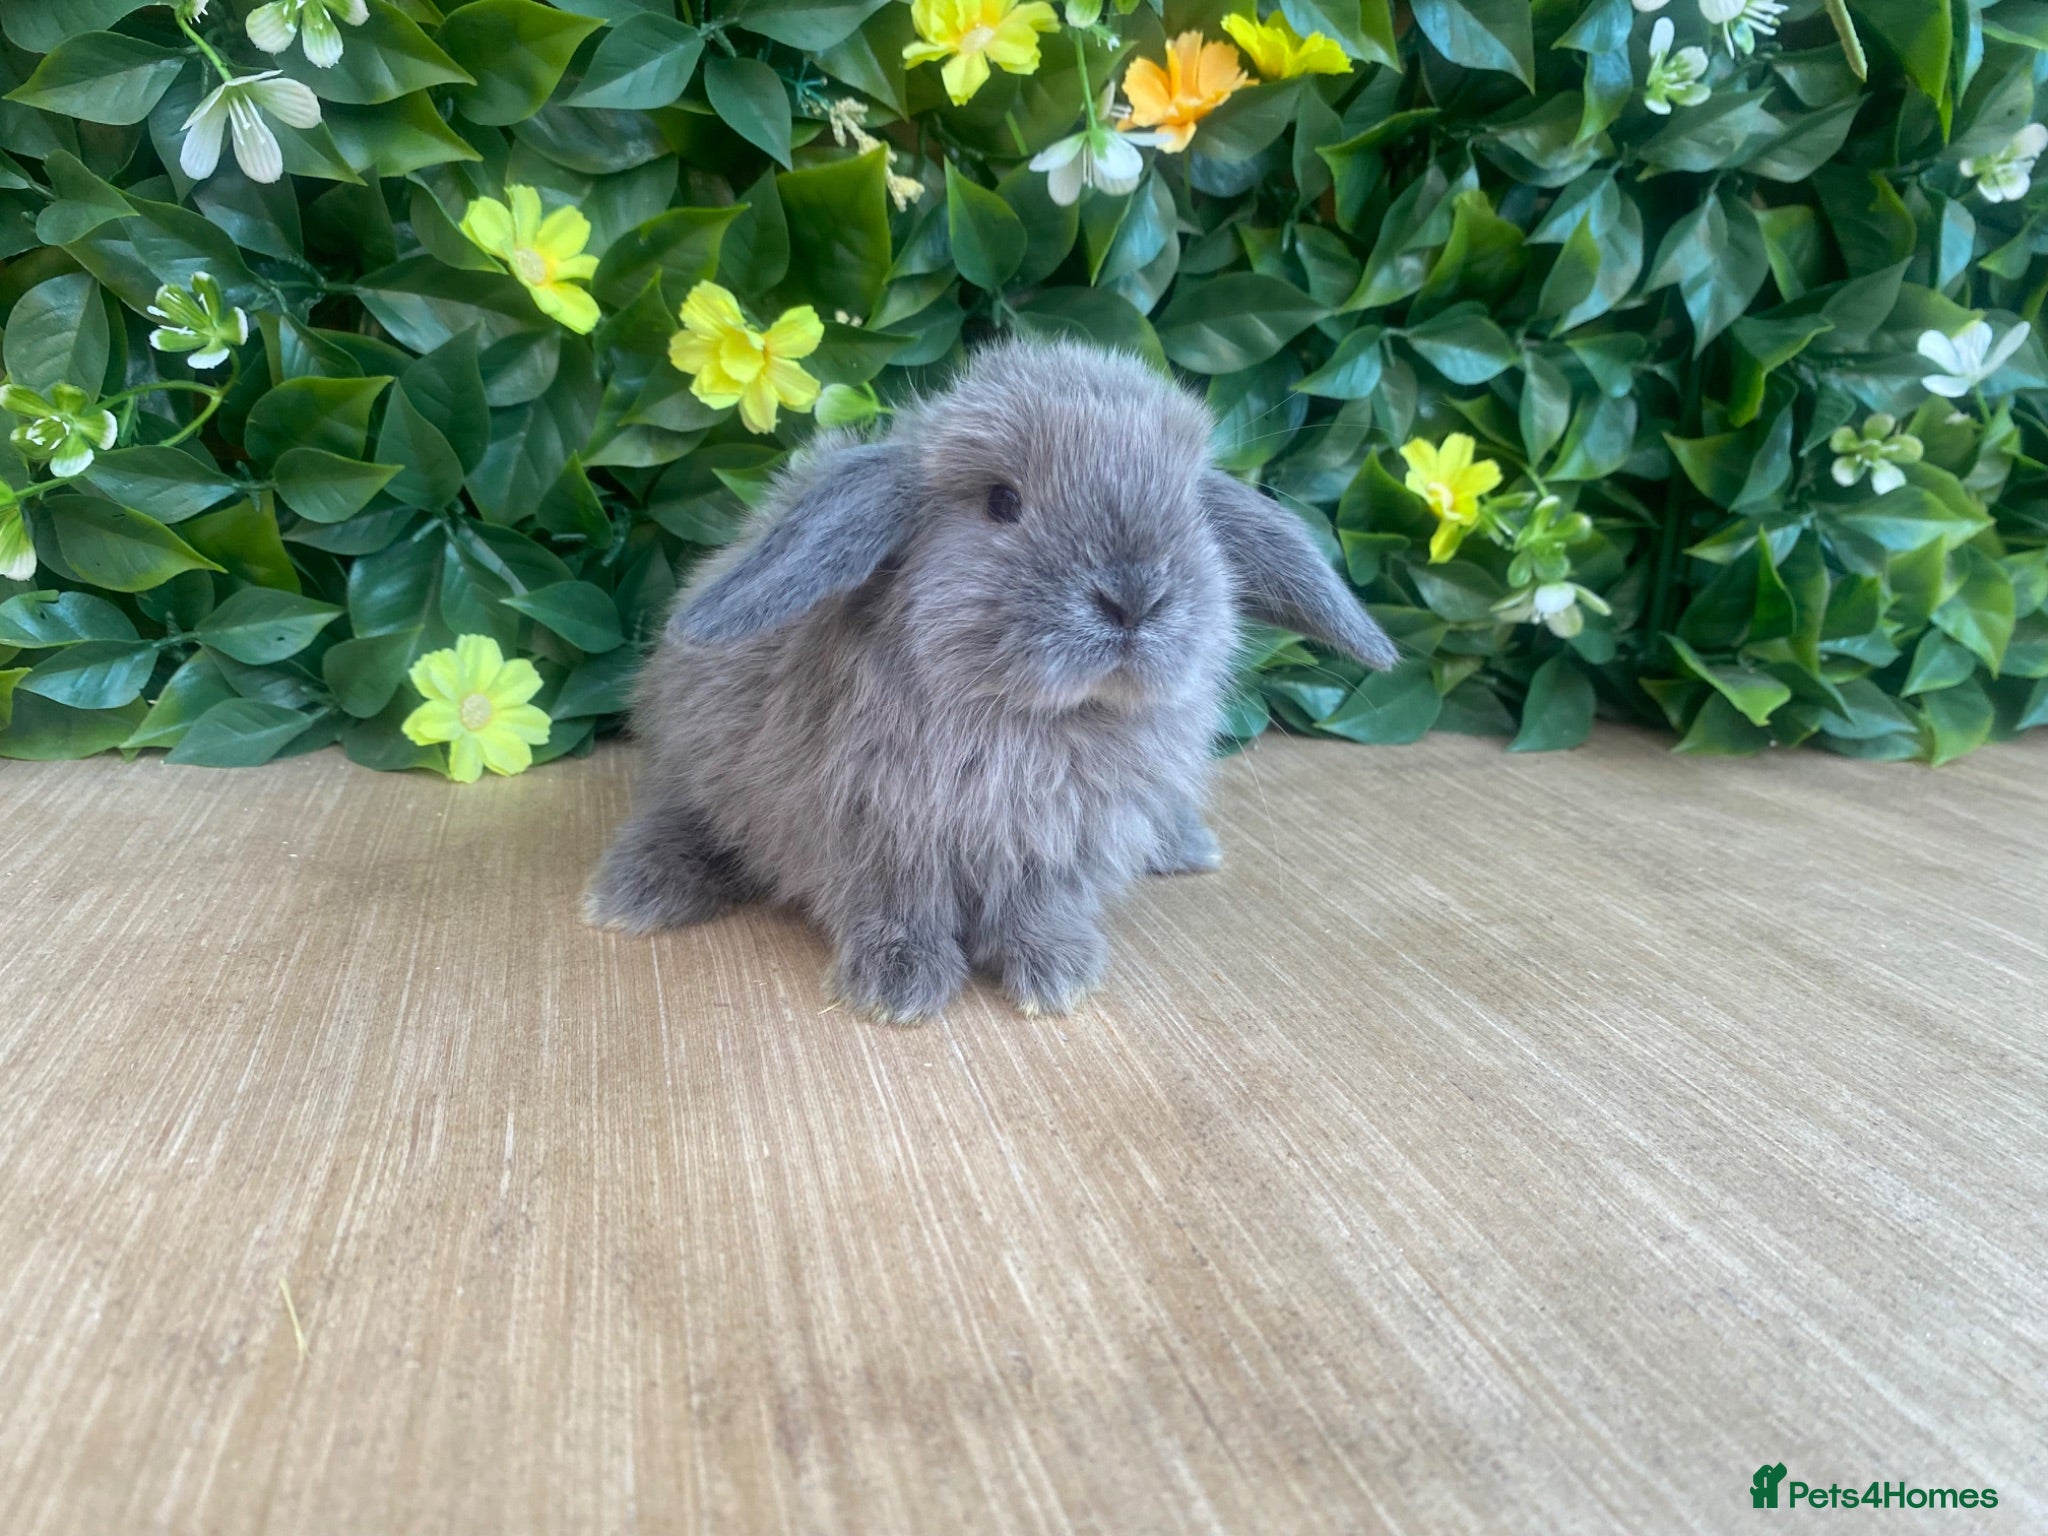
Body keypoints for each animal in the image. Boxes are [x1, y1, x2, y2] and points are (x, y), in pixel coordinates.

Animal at [585, 337, 1397, 1022]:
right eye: (1001, 502)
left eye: (1193, 508)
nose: (1133, 598)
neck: (1034, 718)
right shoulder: (875, 836)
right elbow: (896, 905)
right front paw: (900, 985)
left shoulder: (1059, 846)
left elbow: (1038, 909)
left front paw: (1058, 974)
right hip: (699, 757)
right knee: (681, 813)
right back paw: (635, 893)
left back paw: (1185, 846)